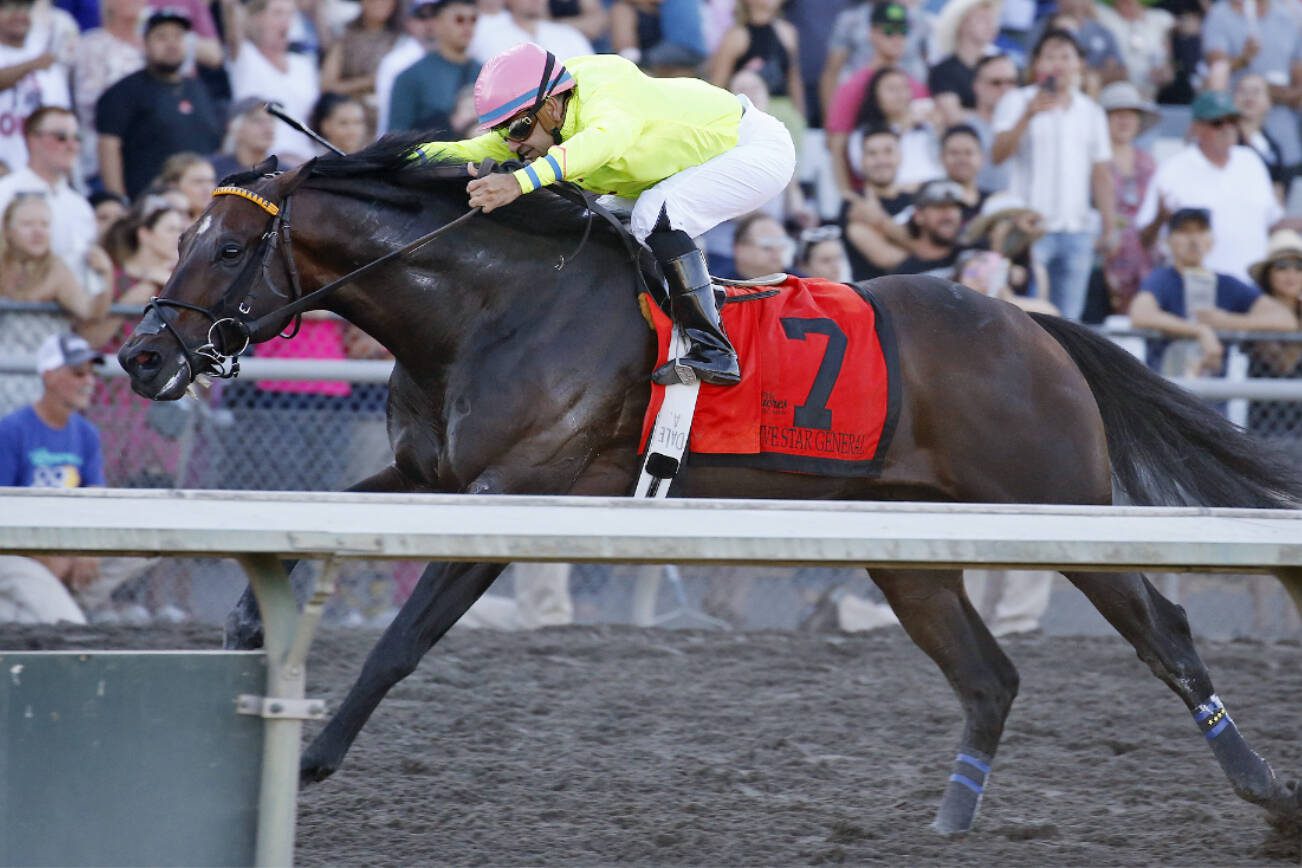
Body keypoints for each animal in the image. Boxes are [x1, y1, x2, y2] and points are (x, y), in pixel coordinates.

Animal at [117, 137, 1296, 843]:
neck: (491, 306)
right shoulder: (427, 476)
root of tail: (1032, 323)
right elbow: (303, 546)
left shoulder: (516, 497)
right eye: (174, 235)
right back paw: (949, 827)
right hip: (905, 547)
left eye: (228, 246)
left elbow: (403, 641)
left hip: (1053, 502)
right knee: (990, 675)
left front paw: (312, 758)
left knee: (1164, 631)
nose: (139, 358)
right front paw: (241, 630)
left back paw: (1266, 793)